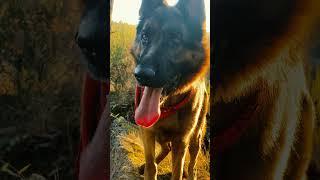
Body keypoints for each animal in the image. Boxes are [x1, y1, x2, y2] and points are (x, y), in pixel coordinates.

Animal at [131, 0, 210, 179]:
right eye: (145, 36)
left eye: (174, 39)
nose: (141, 75)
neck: (167, 107)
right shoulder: (147, 133)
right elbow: (151, 166)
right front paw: (149, 167)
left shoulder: (181, 142)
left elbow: (177, 171)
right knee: (165, 148)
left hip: (195, 138)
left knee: (192, 163)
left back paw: (191, 173)